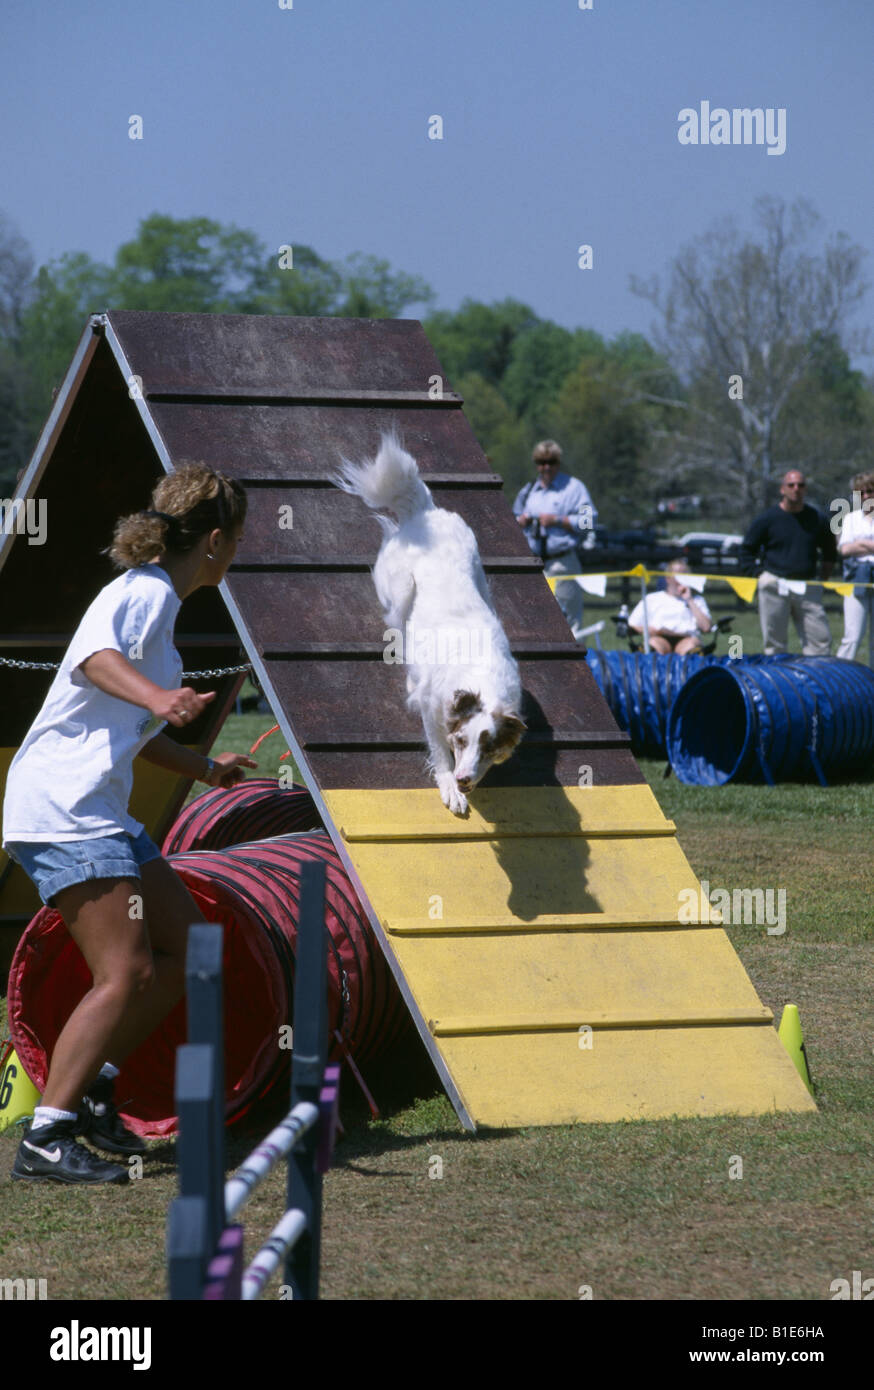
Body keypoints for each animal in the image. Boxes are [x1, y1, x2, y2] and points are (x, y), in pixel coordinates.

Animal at [333, 428, 525, 811]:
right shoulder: (431, 706)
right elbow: (438, 748)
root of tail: (425, 512)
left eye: (489, 747)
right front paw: (449, 786)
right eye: (462, 740)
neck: (483, 678)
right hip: (397, 591)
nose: (466, 780)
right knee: (399, 629)